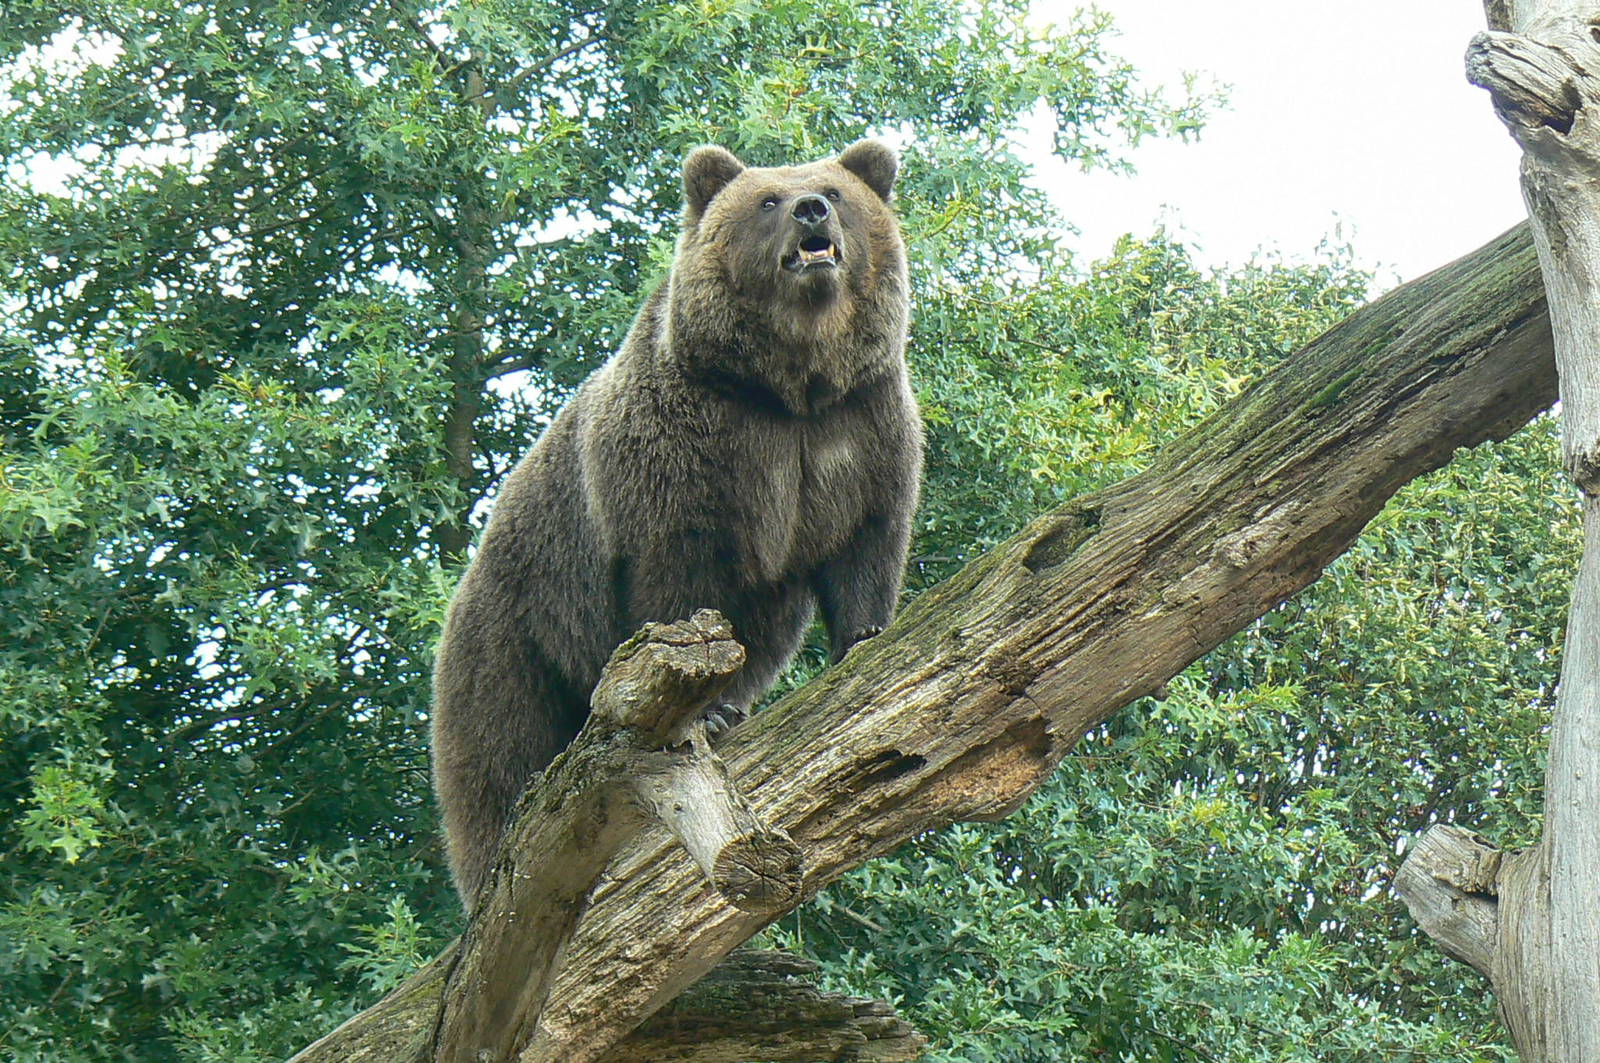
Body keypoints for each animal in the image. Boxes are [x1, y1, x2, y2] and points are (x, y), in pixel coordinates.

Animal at [430, 139, 922, 911]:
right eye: (768, 200)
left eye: (837, 193)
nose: (811, 210)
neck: (790, 388)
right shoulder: (688, 453)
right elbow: (678, 585)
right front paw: (705, 711)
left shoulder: (861, 427)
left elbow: (866, 544)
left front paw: (865, 634)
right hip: (513, 632)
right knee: (498, 751)